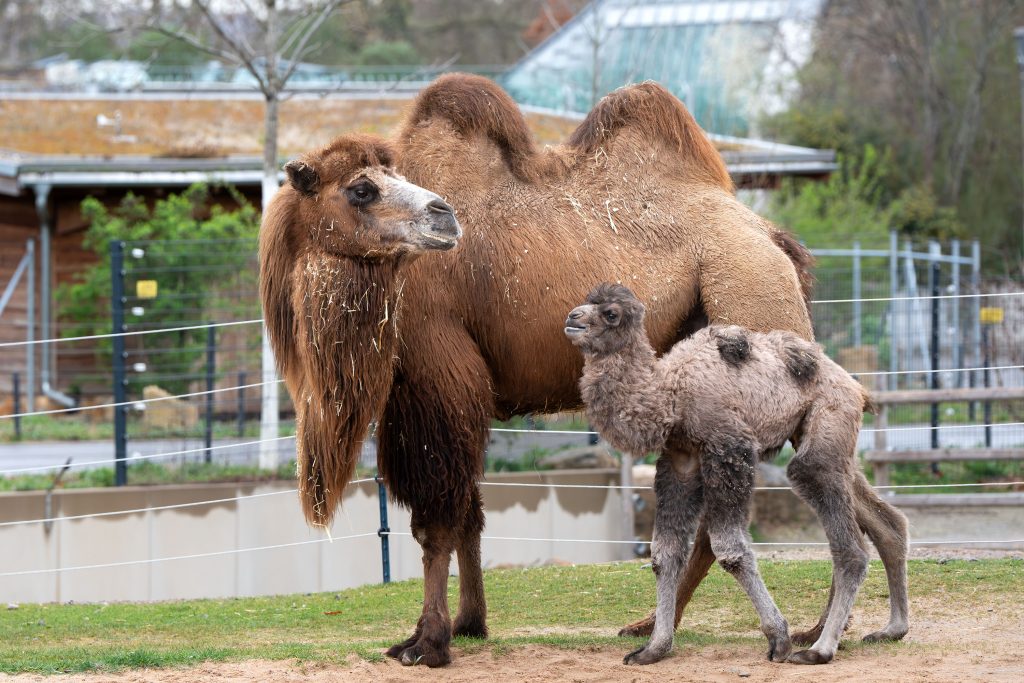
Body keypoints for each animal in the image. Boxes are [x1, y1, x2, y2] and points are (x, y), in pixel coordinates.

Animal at [258, 76, 856, 667]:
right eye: (361, 189)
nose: (443, 217)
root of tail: (775, 241)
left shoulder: (438, 378)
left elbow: (435, 523)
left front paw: (427, 643)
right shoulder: (439, 397)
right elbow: (470, 512)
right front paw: (469, 624)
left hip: (753, 307)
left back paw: (805, 634)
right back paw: (688, 628)